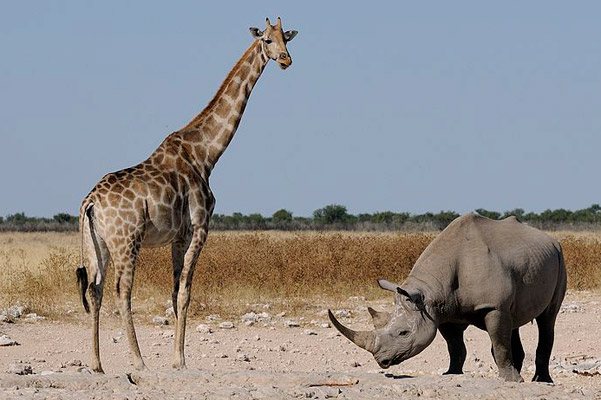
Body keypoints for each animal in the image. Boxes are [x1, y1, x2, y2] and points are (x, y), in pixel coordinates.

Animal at [76, 16, 298, 372]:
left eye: (286, 39)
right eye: (266, 39)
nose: (286, 60)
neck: (206, 154)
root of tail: (90, 202)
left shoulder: (177, 236)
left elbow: (173, 292)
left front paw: (176, 357)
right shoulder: (200, 227)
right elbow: (185, 293)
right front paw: (180, 360)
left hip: (97, 244)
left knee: (94, 290)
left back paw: (97, 364)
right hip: (127, 240)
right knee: (121, 291)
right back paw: (138, 361)